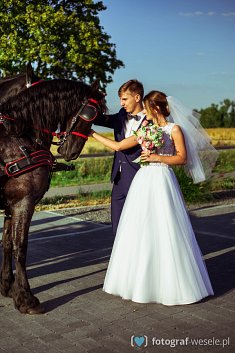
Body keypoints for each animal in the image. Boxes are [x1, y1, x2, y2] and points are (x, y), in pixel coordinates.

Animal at [0, 78, 106, 312]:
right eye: (90, 114)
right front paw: (25, 297)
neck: (18, 139)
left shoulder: (12, 205)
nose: (72, 152)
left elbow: (7, 244)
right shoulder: (24, 203)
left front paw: (7, 287)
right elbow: (21, 246)